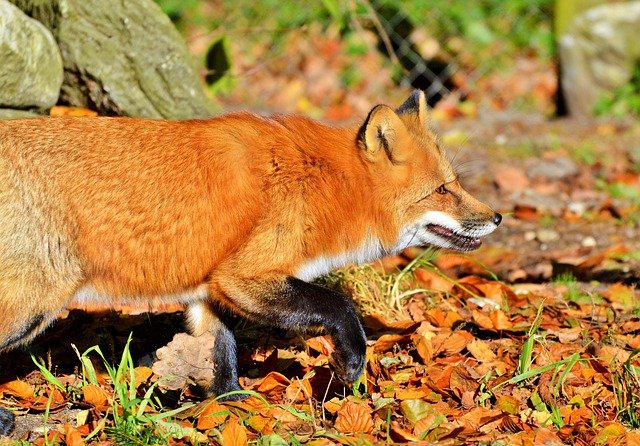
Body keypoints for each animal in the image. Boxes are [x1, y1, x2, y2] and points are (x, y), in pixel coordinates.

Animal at [0, 90, 500, 436]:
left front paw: (235, 406)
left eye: (455, 184)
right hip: (32, 305)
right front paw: (351, 364)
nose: (496, 217)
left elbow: (222, 351)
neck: (322, 184)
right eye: (442, 190)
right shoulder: (242, 275)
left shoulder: (210, 287)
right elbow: (339, 306)